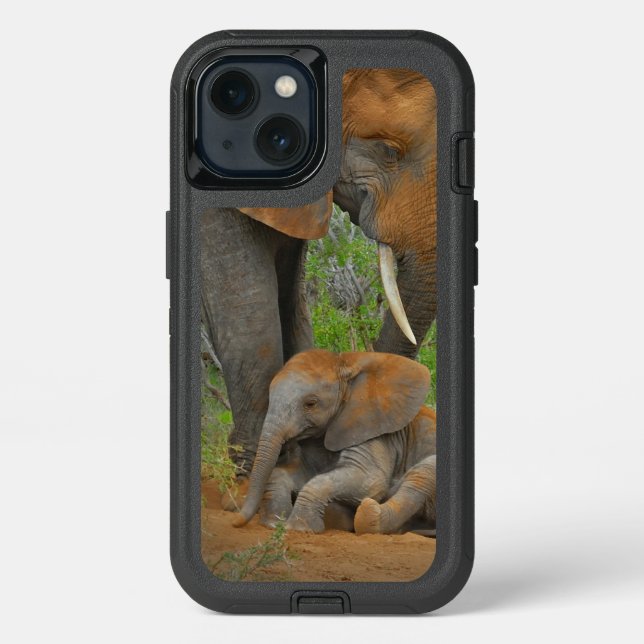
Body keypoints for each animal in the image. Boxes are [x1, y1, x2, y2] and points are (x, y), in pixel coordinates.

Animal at [232, 349, 437, 535]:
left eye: (311, 403)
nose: (236, 522)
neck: (346, 365)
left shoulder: (374, 431)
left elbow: (370, 481)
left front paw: (299, 528)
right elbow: (295, 473)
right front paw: (275, 523)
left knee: (421, 474)